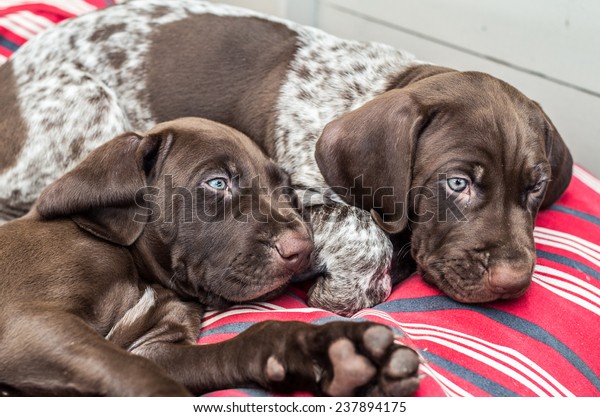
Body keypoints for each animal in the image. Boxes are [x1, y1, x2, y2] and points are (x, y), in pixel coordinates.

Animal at [0, 0, 572, 312]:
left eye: (536, 187)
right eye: (457, 183)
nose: (514, 282)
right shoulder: (301, 200)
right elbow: (366, 233)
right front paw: (339, 292)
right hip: (89, 105)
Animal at [0, 118, 422, 396]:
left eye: (285, 188)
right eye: (217, 183)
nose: (302, 249)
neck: (143, 274)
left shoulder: (156, 348)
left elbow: (238, 345)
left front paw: (323, 350)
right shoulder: (30, 322)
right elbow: (145, 379)